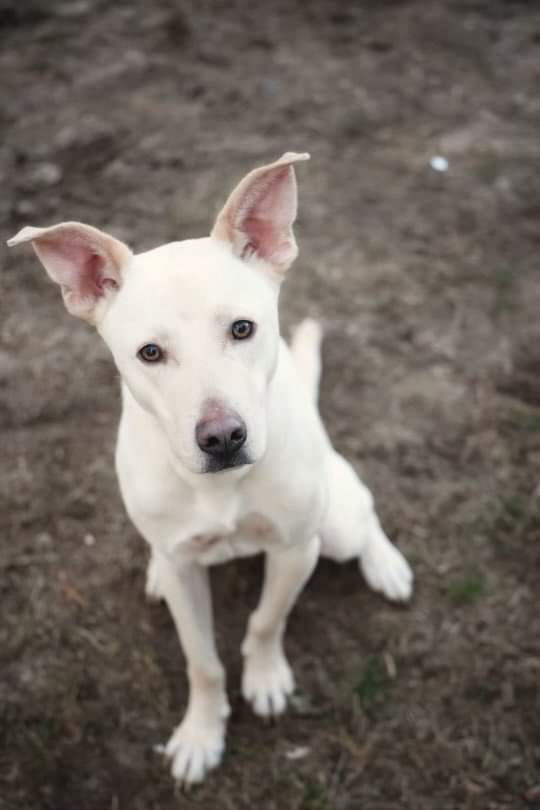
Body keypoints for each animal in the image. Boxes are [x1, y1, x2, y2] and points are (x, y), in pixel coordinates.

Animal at [7, 152, 414, 784]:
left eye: (242, 328)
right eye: (150, 353)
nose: (223, 438)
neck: (222, 487)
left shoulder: (295, 550)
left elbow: (266, 622)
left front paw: (266, 678)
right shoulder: (184, 572)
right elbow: (202, 661)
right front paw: (202, 732)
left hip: (337, 522)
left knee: (365, 519)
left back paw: (386, 565)